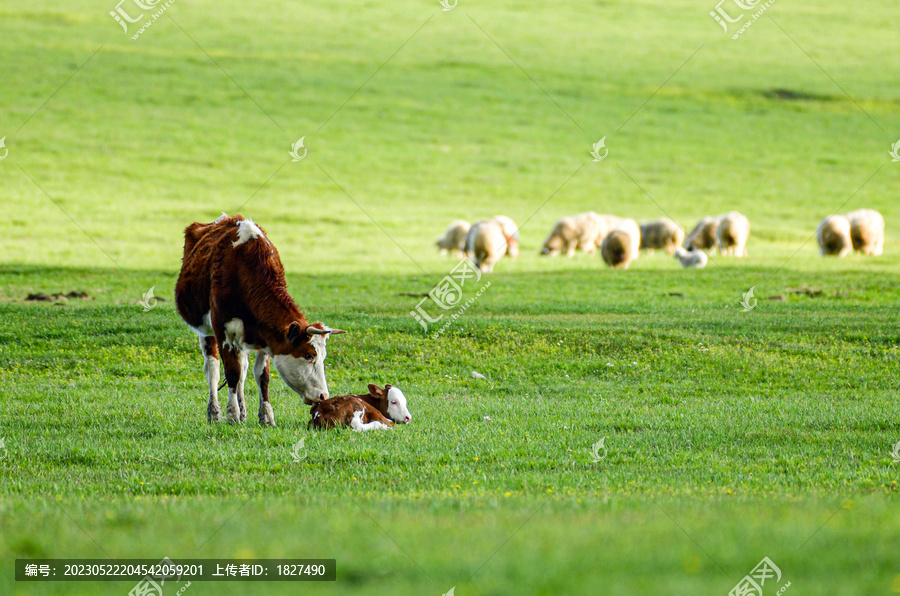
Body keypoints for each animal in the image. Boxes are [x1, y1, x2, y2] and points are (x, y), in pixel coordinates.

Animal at [176, 212, 344, 426]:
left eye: (323, 356)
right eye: (309, 355)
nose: (323, 396)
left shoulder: (266, 336)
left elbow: (261, 377)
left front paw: (266, 416)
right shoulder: (223, 331)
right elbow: (231, 373)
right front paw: (232, 415)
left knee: (242, 369)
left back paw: (243, 411)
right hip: (205, 331)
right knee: (213, 369)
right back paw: (214, 412)